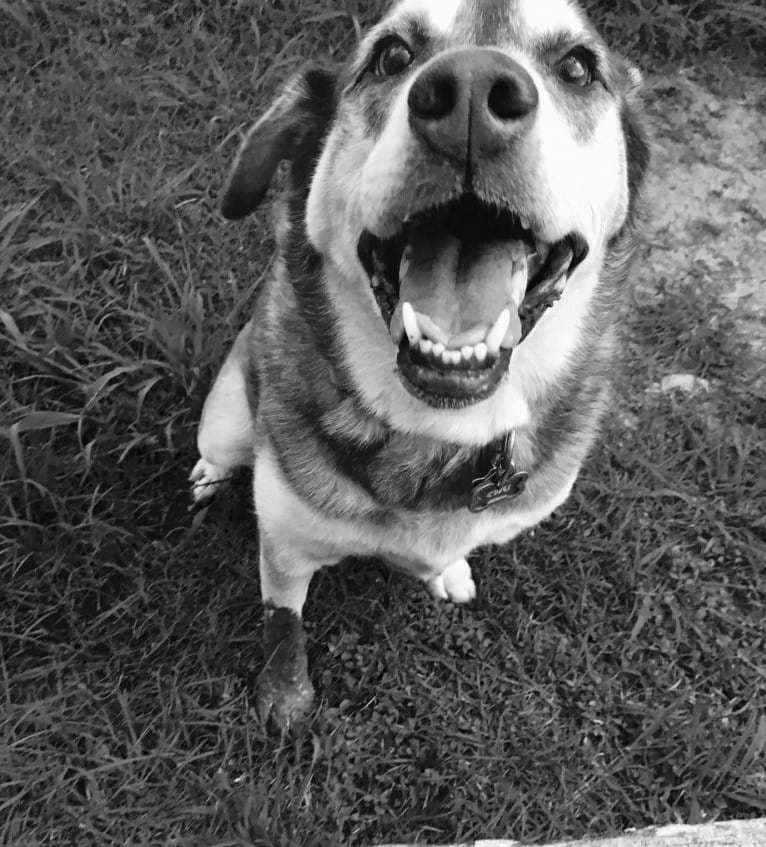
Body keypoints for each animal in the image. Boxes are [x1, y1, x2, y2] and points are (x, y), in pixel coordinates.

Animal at [189, 0, 652, 728]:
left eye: (578, 66)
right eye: (392, 56)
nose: (472, 92)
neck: (444, 431)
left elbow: (449, 550)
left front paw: (445, 571)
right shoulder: (285, 546)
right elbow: (283, 629)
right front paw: (285, 700)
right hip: (230, 417)